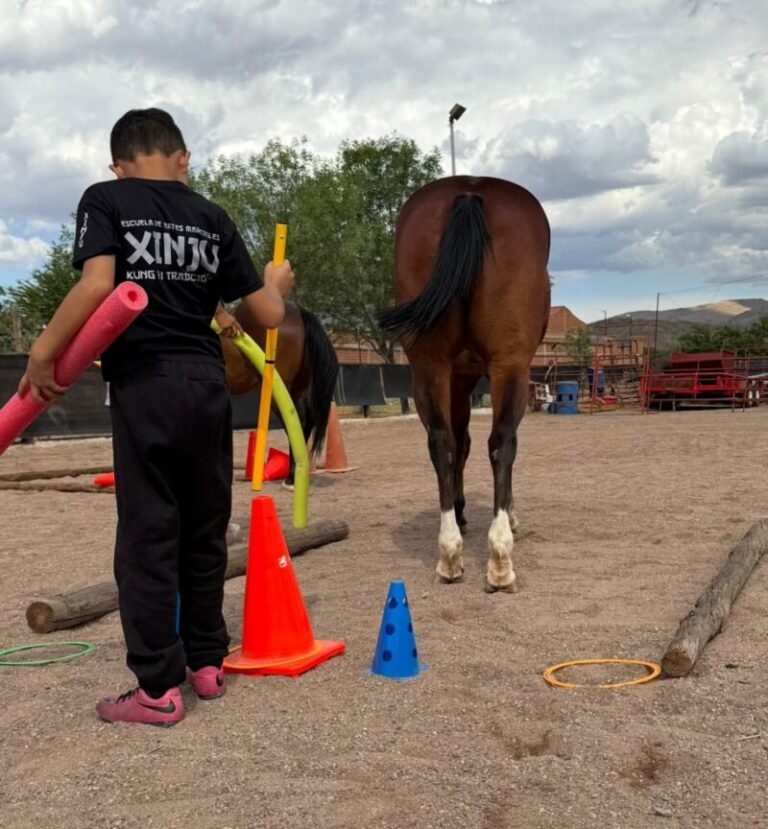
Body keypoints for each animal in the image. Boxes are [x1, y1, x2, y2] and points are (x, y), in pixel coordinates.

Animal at [379, 176, 551, 592]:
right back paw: (500, 559)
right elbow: (493, 445)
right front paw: (508, 516)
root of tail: (470, 193)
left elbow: (459, 443)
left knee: (442, 443)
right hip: (509, 365)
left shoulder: (457, 378)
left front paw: (458, 511)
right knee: (502, 442)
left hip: (429, 367)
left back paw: (449, 554)